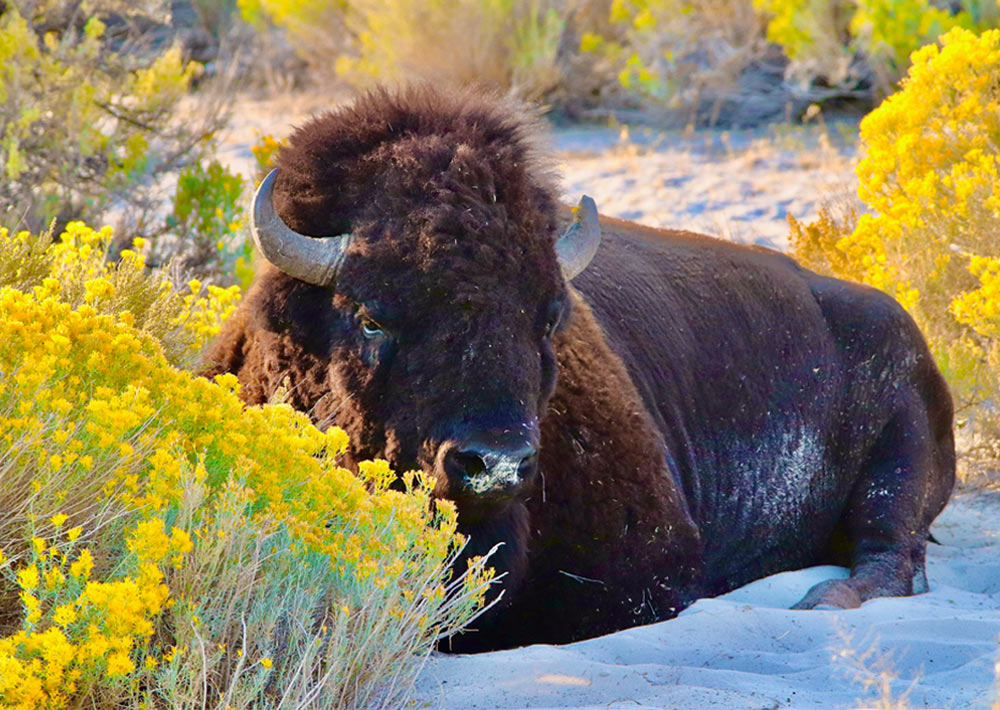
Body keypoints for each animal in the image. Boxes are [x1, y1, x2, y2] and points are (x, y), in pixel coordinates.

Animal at [204, 87, 955, 652]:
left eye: (547, 318)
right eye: (370, 317)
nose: (496, 463)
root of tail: (897, 321)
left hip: (900, 465)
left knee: (889, 552)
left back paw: (824, 600)